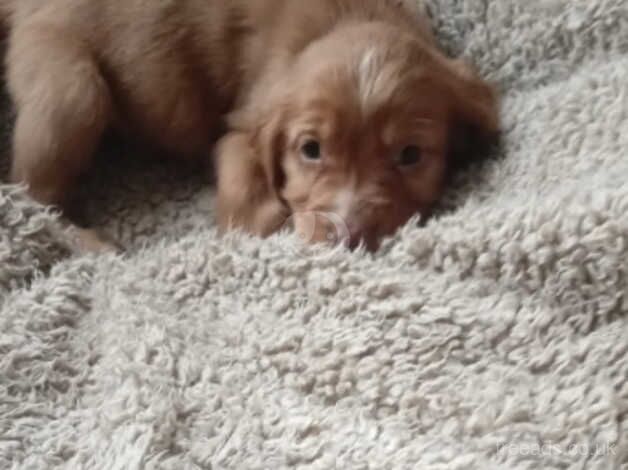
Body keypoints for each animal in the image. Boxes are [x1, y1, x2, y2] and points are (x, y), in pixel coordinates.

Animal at [1, 0, 500, 252]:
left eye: (410, 155)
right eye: (311, 149)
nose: (346, 235)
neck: (352, 16)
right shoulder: (246, 122)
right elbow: (242, 176)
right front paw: (260, 222)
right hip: (73, 90)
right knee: (30, 192)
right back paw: (93, 242)